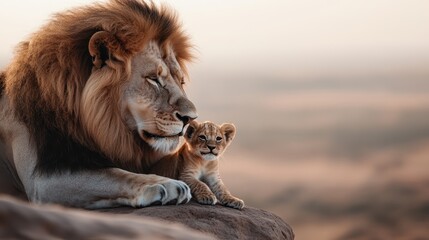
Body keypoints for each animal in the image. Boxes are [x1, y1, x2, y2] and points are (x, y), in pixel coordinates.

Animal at [0, 0, 198, 208]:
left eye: (181, 81)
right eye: (153, 79)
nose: (190, 118)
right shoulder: (42, 181)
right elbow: (116, 175)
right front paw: (166, 185)